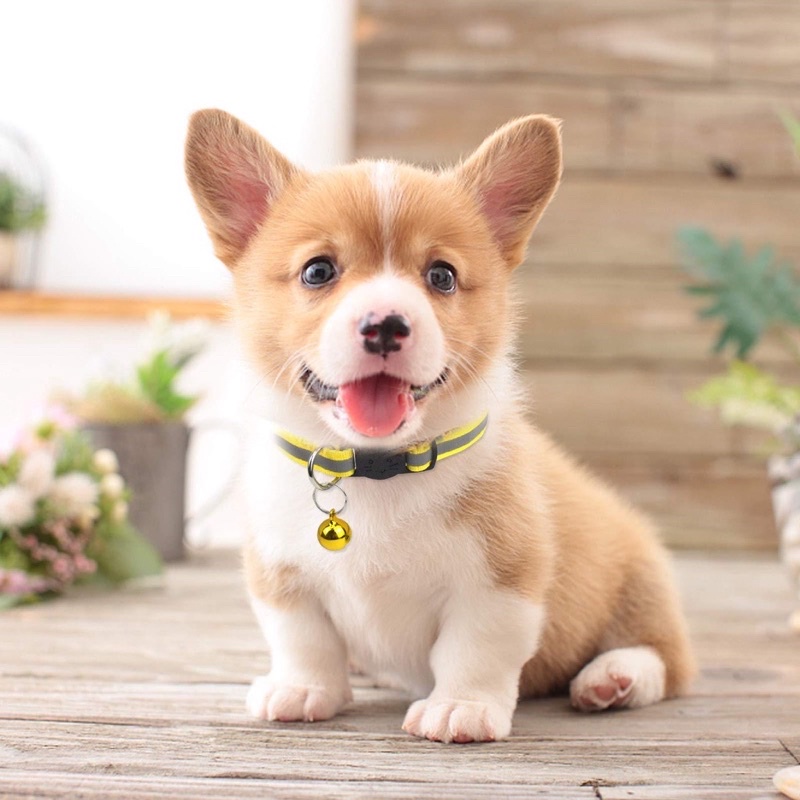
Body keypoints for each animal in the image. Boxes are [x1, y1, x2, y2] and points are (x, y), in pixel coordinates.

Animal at [184, 108, 692, 744]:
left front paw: (461, 708)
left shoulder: (502, 579)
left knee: (666, 659)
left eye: (443, 276)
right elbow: (304, 640)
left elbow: (474, 649)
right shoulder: (281, 572)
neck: (375, 469)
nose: (385, 324)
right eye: (318, 271)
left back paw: (613, 678)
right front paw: (301, 690)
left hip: (640, 581)